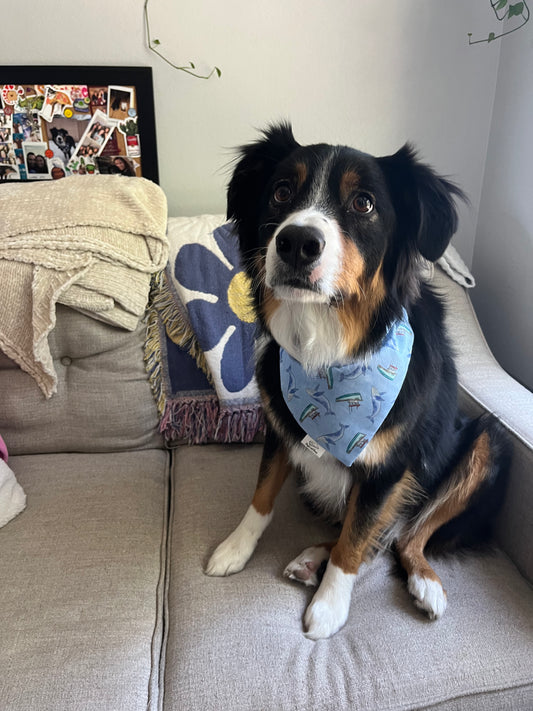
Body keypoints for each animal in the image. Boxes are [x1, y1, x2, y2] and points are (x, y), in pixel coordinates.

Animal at [204, 125, 508, 644]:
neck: (328, 349)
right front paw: (235, 548)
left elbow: (356, 538)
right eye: (281, 191)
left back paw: (423, 582)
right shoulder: (281, 424)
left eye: (364, 203)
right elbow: (262, 496)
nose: (297, 242)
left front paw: (329, 606)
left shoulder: (389, 466)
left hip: (487, 443)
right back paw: (312, 559)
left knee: (404, 536)